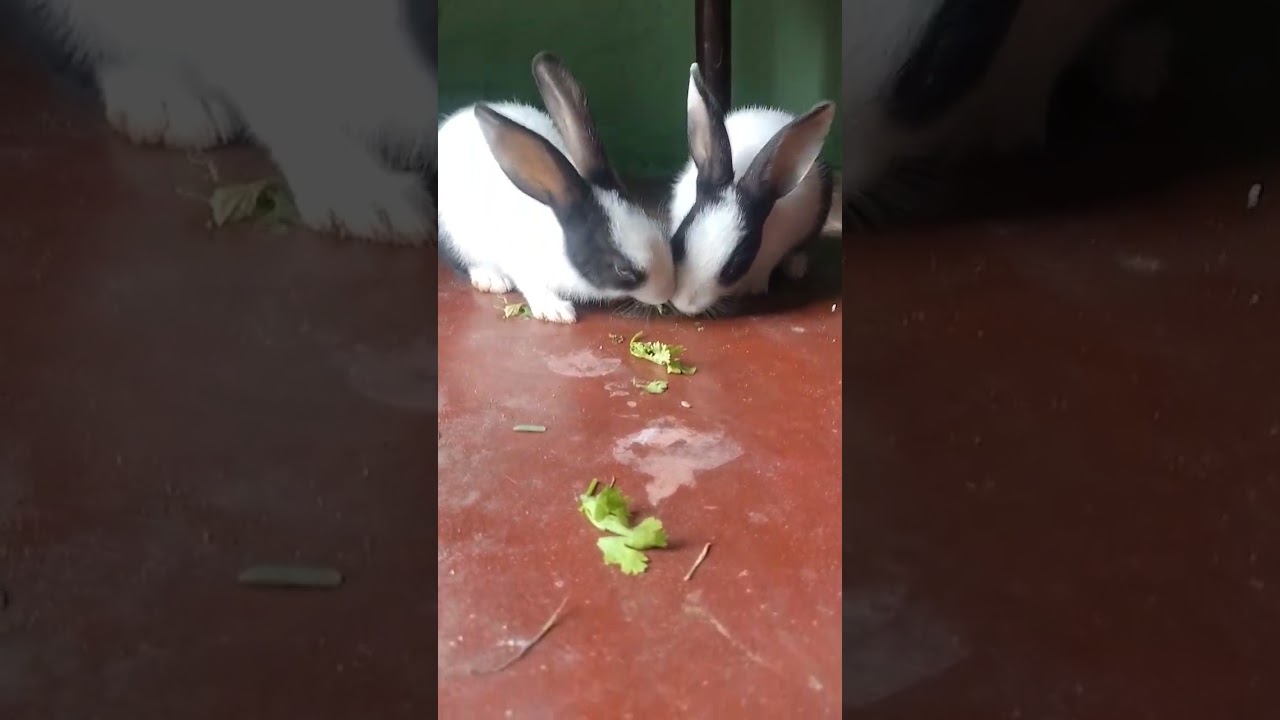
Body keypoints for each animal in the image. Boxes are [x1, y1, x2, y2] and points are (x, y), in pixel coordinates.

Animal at [435, 52, 674, 324]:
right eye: (622, 269)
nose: (668, 291)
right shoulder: (521, 262)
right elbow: (532, 285)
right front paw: (557, 311)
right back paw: (491, 279)